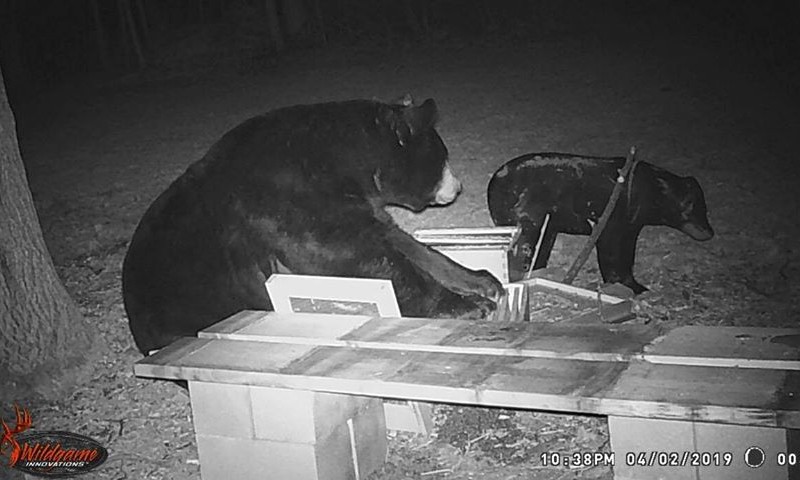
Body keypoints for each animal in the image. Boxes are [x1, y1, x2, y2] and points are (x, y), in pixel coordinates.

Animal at [123, 97, 504, 355]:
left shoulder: (360, 204)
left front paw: (481, 280)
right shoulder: (287, 200)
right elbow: (353, 254)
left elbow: (404, 242)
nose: (458, 186)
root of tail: (140, 334)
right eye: (443, 157)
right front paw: (466, 305)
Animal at [487, 153, 714, 294]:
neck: (649, 190)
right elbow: (611, 251)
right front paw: (624, 285)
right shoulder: (611, 217)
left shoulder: (632, 224)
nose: (709, 232)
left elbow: (628, 251)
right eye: (689, 208)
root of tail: (495, 180)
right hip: (526, 211)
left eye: (704, 209)